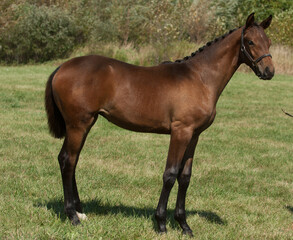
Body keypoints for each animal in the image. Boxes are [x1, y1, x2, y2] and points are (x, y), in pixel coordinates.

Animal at [44, 12, 272, 234]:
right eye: (250, 41)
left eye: (268, 42)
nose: (269, 71)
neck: (200, 78)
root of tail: (61, 67)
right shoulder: (180, 132)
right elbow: (170, 174)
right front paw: (161, 223)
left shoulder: (194, 135)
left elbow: (185, 177)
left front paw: (184, 225)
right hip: (78, 124)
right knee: (68, 160)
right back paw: (73, 216)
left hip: (85, 124)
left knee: (70, 160)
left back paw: (80, 211)